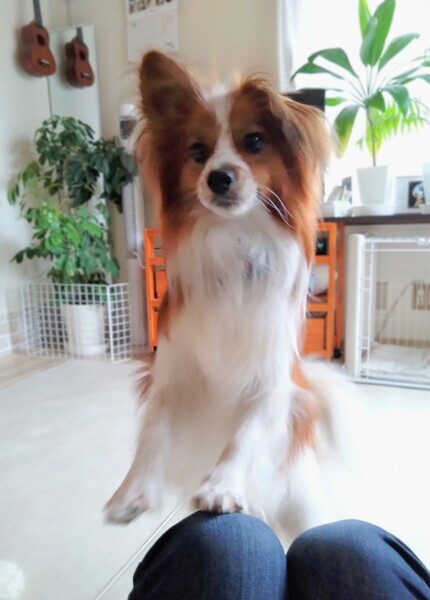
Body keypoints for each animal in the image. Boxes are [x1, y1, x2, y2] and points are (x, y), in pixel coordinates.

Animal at [105, 50, 353, 538]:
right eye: (197, 153)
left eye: (254, 141)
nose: (218, 177)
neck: (232, 242)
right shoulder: (172, 374)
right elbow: (153, 434)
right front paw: (131, 492)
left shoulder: (271, 382)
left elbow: (245, 434)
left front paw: (221, 486)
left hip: (304, 507)